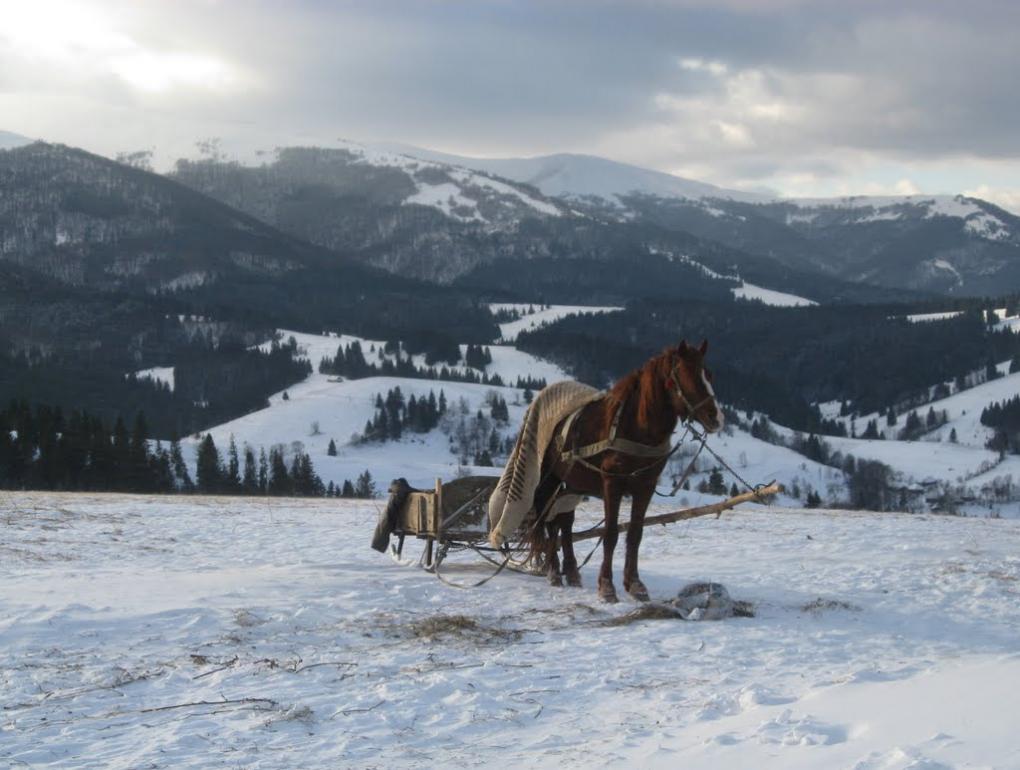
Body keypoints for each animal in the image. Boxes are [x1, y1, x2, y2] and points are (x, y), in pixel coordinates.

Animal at [530, 340, 722, 603]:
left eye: (708, 374)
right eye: (686, 375)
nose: (716, 418)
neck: (636, 427)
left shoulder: (646, 486)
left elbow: (635, 534)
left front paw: (635, 584)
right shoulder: (613, 483)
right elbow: (610, 534)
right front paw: (606, 586)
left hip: (572, 485)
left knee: (565, 522)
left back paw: (571, 572)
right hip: (550, 481)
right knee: (549, 523)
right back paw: (552, 571)